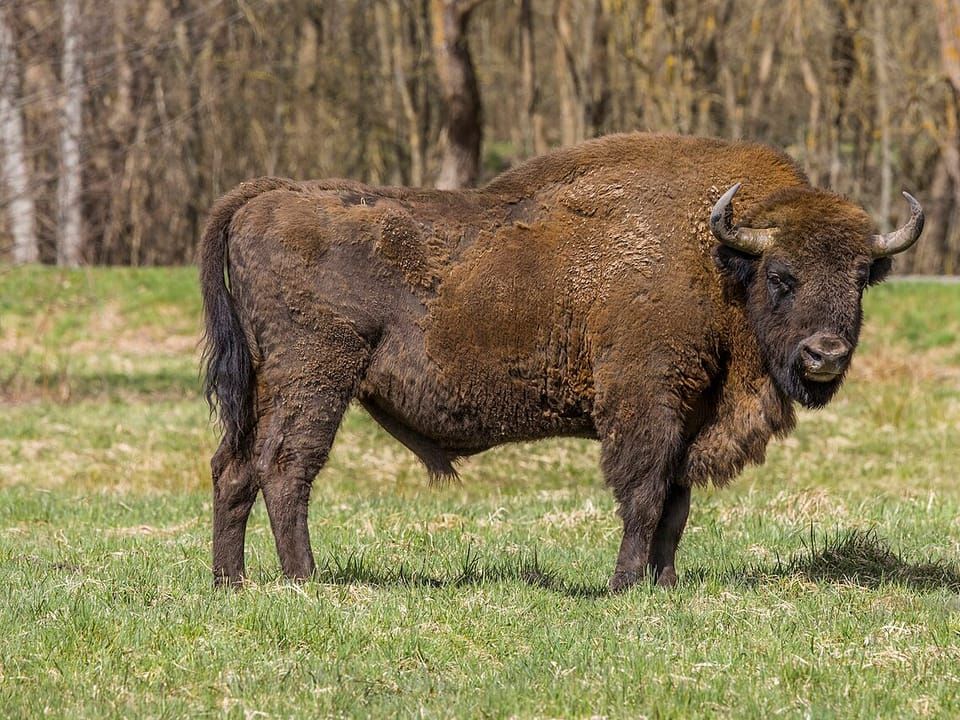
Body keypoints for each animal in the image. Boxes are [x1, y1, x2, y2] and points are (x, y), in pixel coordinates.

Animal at [201, 133, 923, 590]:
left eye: (862, 276)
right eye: (781, 275)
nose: (825, 355)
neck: (717, 258)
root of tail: (270, 195)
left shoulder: (690, 416)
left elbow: (676, 506)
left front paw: (665, 585)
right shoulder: (647, 405)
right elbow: (644, 496)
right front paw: (624, 585)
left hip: (266, 383)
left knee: (234, 467)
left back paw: (231, 582)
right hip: (316, 378)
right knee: (285, 468)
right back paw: (305, 580)